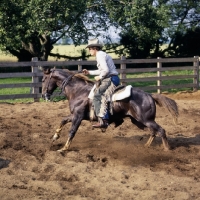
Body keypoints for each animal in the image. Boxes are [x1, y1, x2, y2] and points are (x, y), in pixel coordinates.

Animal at [41, 68, 179, 152]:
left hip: (146, 120)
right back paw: (146, 146)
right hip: (139, 121)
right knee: (153, 132)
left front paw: (64, 148)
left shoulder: (78, 117)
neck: (78, 91)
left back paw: (167, 149)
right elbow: (63, 120)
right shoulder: (74, 115)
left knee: (161, 130)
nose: (43, 95)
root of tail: (150, 95)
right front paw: (55, 136)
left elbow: (72, 131)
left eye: (43, 79)